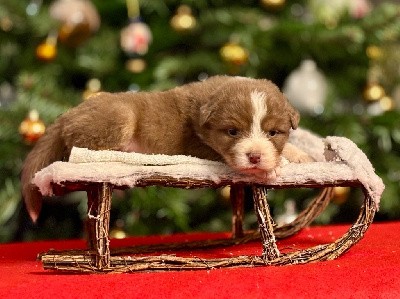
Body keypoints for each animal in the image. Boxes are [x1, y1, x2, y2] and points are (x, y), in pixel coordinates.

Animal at [21, 75, 310, 220]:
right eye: (232, 132)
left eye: (273, 133)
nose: (254, 156)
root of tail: (65, 115)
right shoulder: (196, 145)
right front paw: (273, 168)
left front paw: (298, 155)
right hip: (119, 116)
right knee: (82, 151)